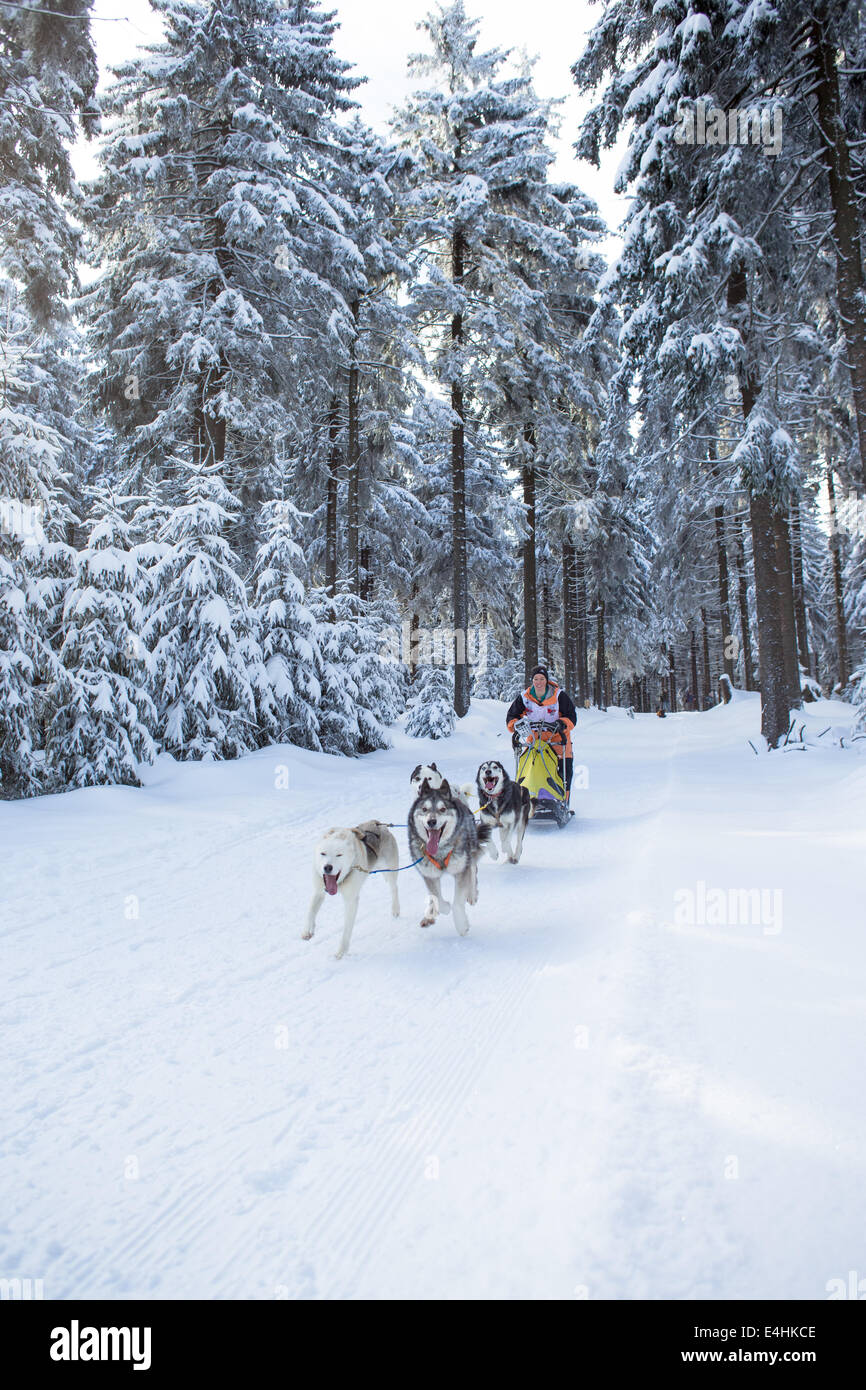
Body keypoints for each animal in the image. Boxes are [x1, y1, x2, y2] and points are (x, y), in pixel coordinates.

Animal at [303, 817, 400, 961]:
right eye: (323, 853)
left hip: (390, 871)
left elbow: (347, 929)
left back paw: (395, 909)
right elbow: (310, 911)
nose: (327, 867)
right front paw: (308, 930)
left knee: (394, 888)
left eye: (339, 855)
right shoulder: (319, 891)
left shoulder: (351, 901)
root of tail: (379, 825)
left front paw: (341, 951)